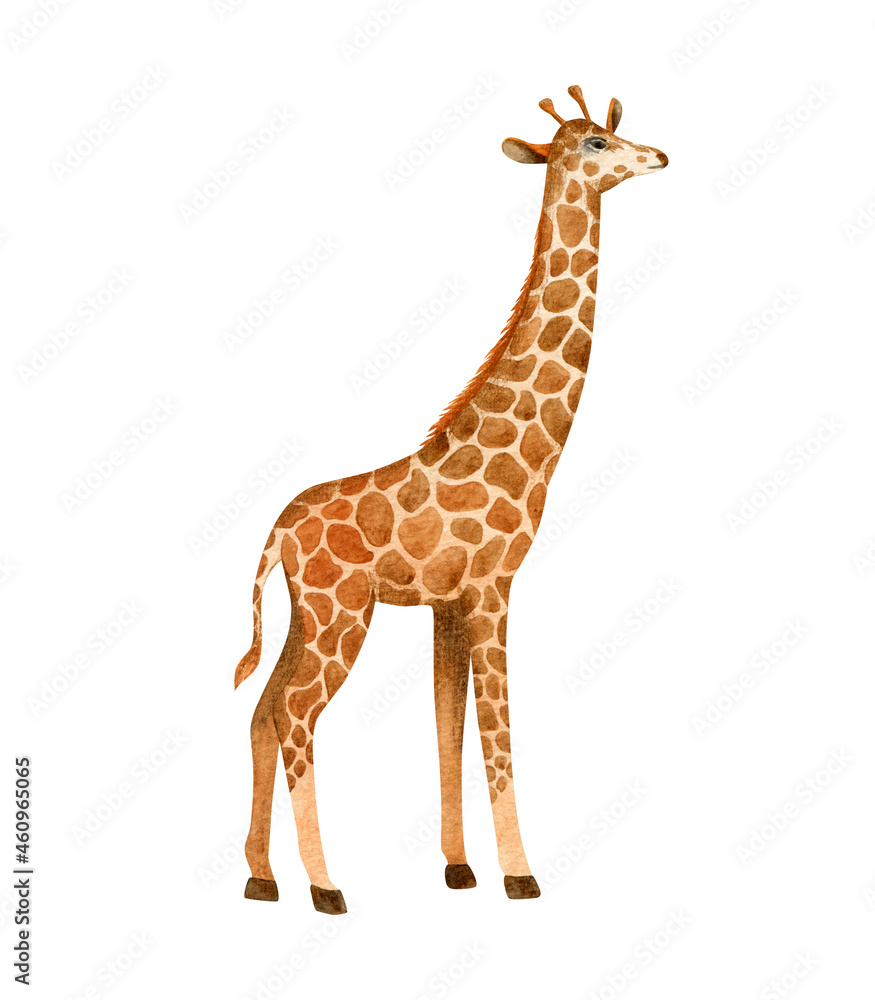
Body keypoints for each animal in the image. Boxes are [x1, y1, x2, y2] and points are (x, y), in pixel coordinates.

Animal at [234, 85, 668, 914]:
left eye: (614, 131)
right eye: (595, 143)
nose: (659, 156)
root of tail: (276, 535)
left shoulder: (447, 605)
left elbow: (446, 727)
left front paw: (459, 870)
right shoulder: (493, 588)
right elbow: (497, 734)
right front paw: (522, 876)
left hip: (309, 613)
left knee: (264, 709)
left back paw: (261, 878)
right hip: (342, 612)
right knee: (298, 714)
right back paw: (326, 885)